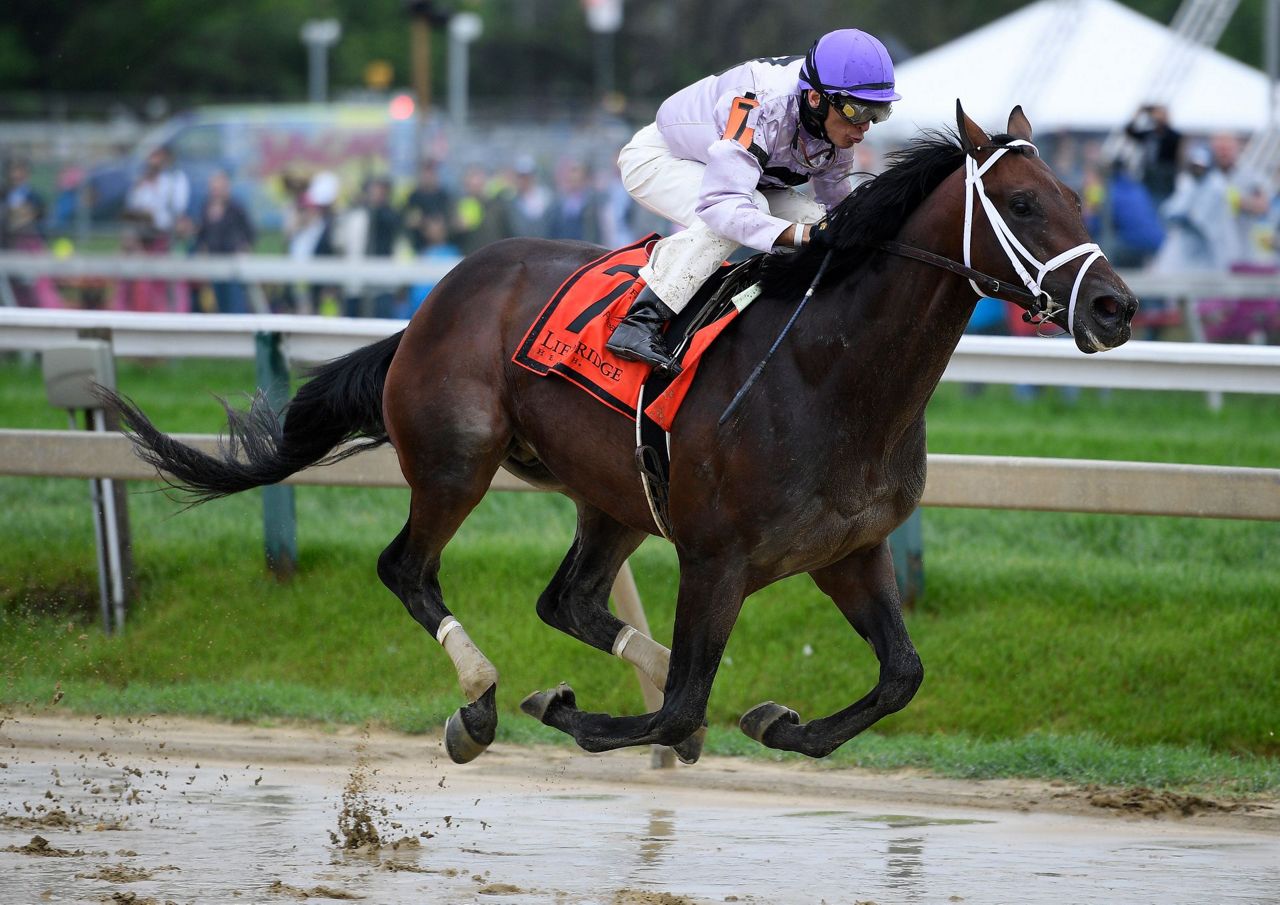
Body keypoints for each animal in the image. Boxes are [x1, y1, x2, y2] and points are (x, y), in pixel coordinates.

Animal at [104, 104, 1136, 762]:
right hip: (456, 460)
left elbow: (901, 674)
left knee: (568, 600)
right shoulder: (718, 557)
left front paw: (775, 721)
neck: (832, 373)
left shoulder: (850, 548)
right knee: (409, 568)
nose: (1116, 306)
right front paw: (573, 708)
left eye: (1080, 198)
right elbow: (679, 708)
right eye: (1025, 204)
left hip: (615, 498)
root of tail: (437, 295)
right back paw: (480, 700)